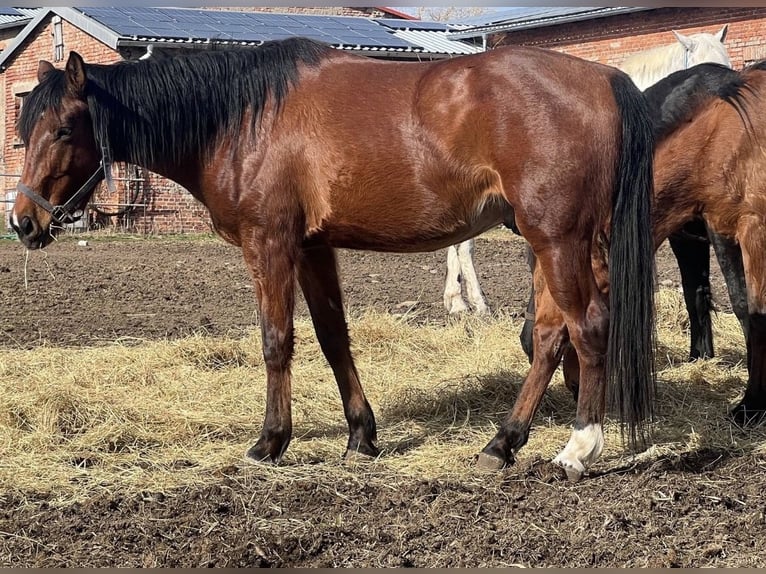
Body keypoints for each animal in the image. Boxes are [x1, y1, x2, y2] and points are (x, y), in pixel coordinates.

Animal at [11, 38, 656, 479]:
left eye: (64, 129)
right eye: (24, 128)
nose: (22, 222)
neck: (246, 119)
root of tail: (604, 78)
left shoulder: (270, 243)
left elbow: (276, 341)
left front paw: (270, 442)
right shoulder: (313, 248)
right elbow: (331, 337)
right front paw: (360, 436)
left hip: (558, 238)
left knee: (588, 328)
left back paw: (578, 447)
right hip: (545, 240)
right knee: (549, 337)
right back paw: (502, 442)